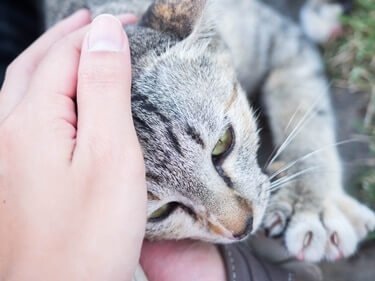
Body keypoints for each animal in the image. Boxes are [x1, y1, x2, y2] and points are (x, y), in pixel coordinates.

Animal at [44, 0, 375, 262]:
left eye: (223, 144)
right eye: (159, 213)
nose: (243, 226)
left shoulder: (280, 40)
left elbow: (306, 117)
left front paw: (314, 206)